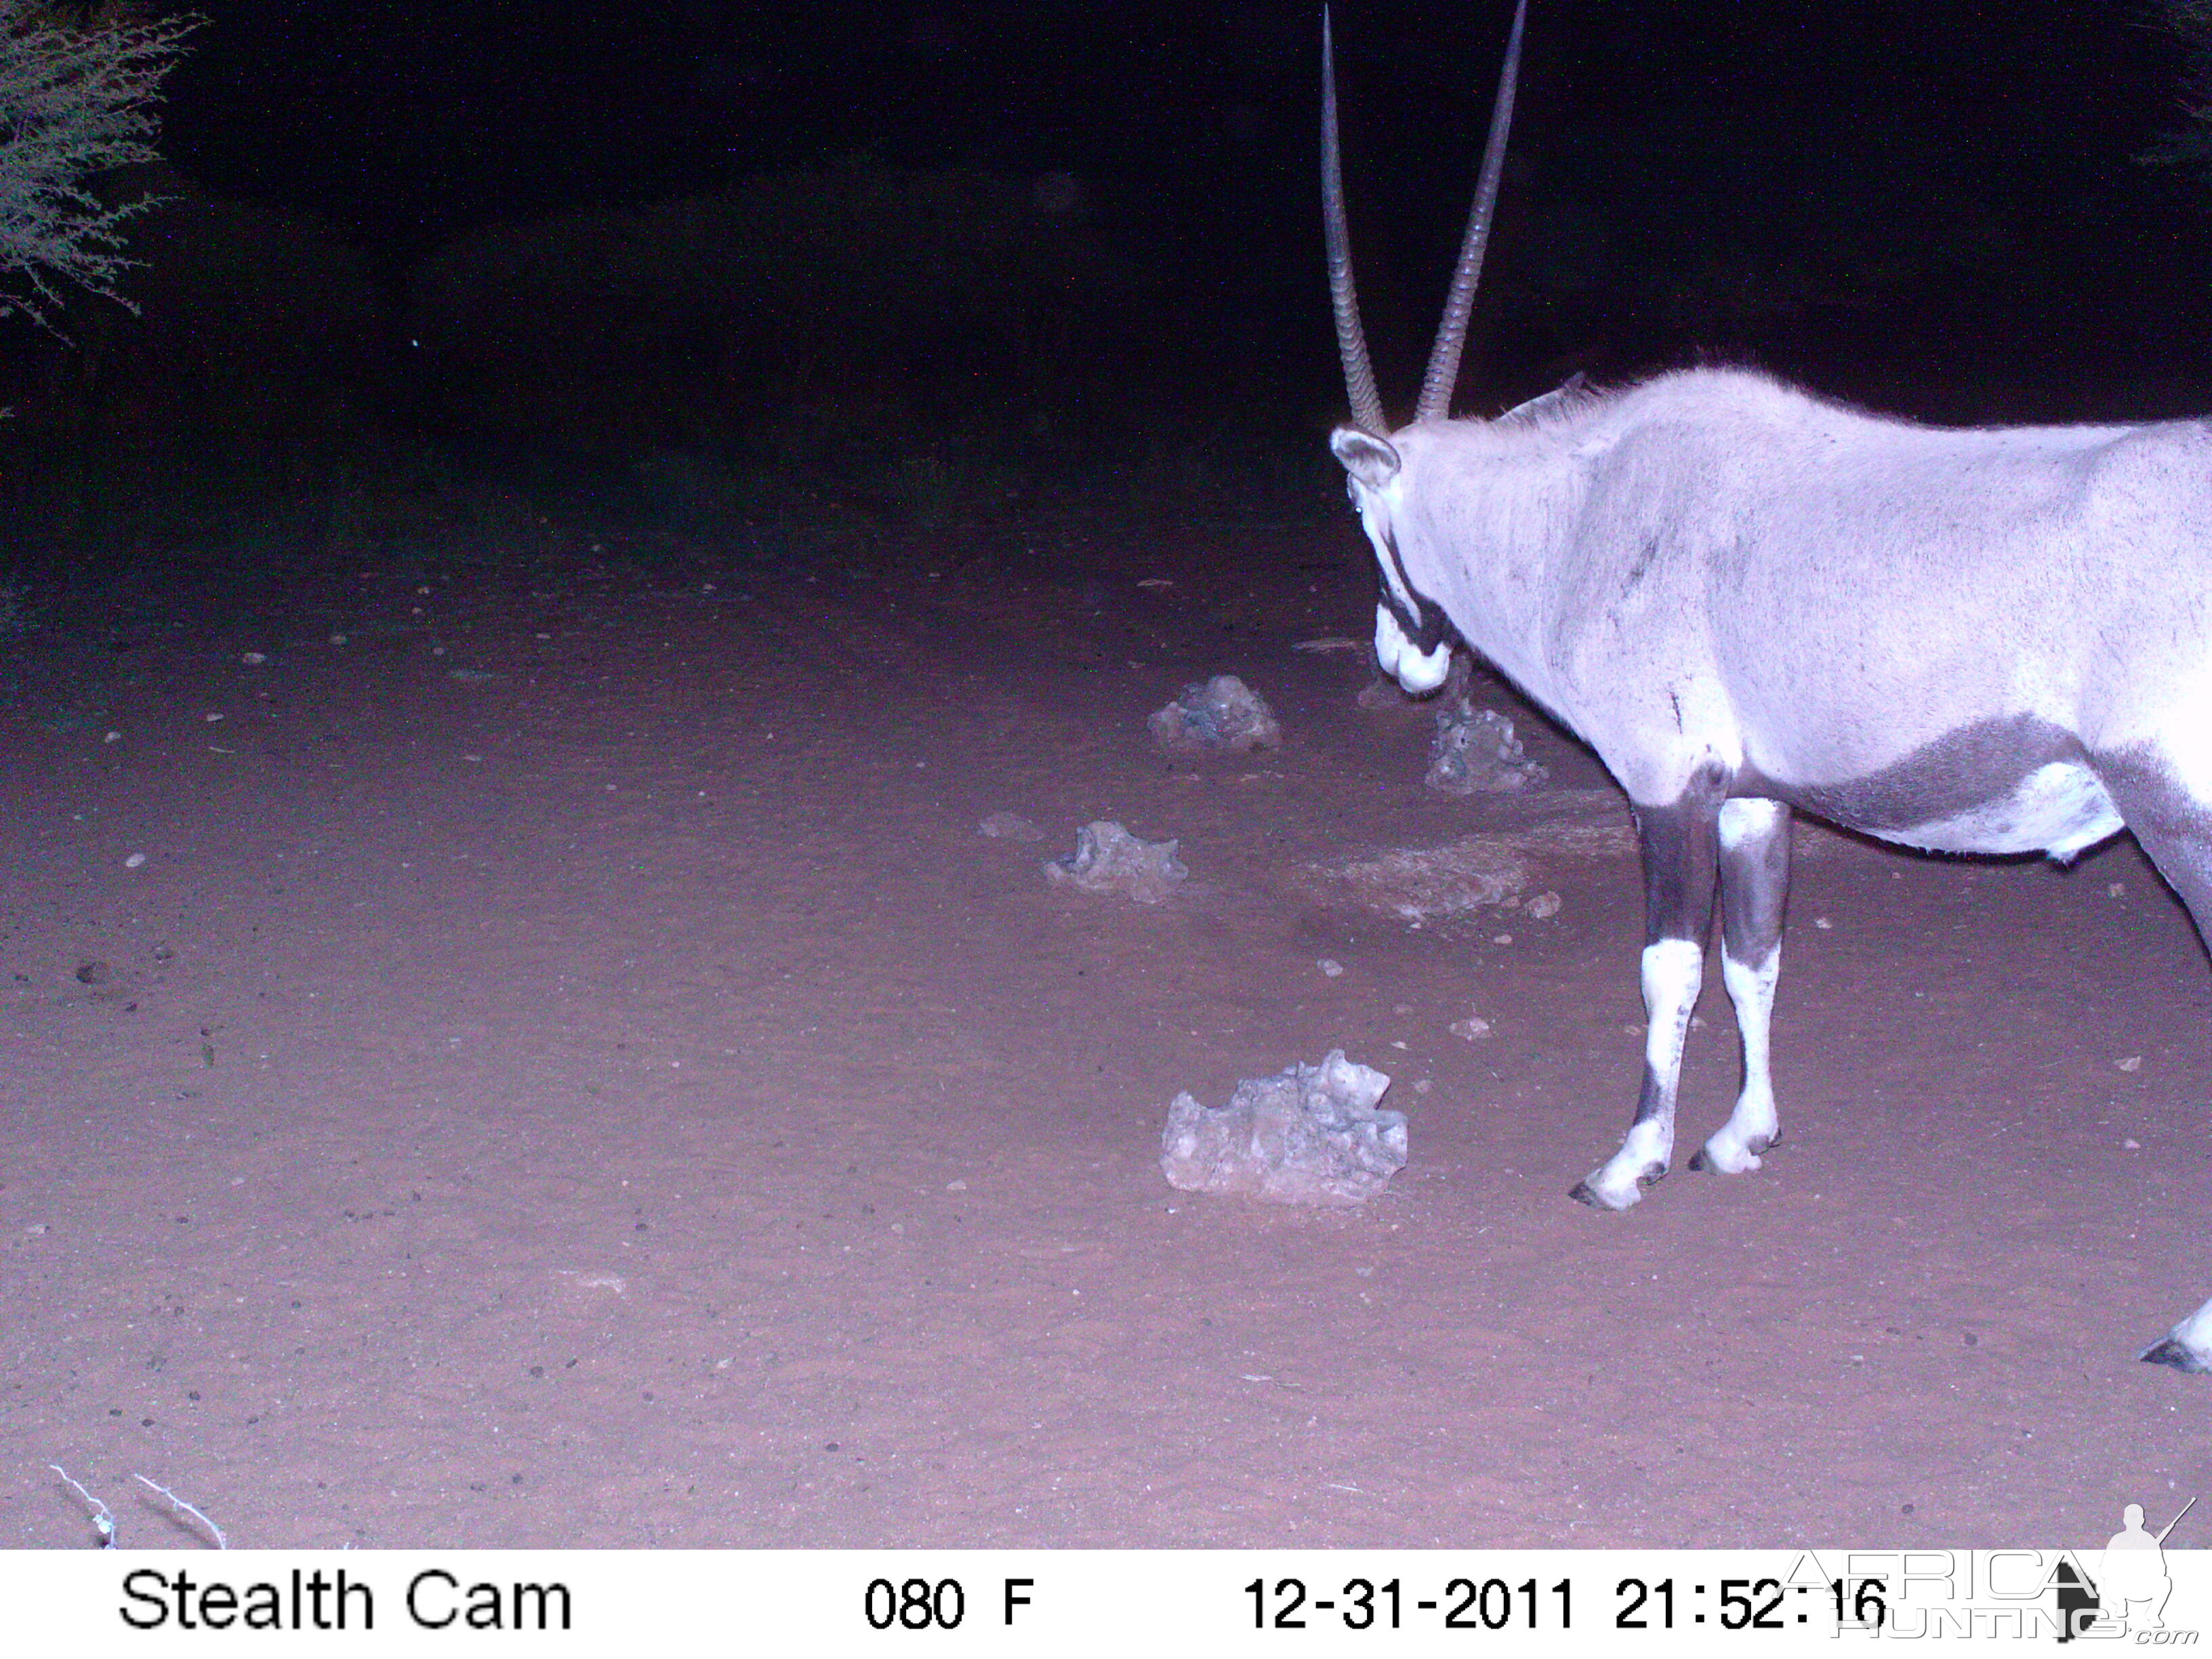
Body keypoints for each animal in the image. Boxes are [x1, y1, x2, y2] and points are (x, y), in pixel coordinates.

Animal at [1318, 3, 2212, 1380]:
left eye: (1368, 519)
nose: (1399, 658)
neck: (1583, 509)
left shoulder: (1661, 789)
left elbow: (1669, 971)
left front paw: (1626, 1162)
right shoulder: (1753, 797)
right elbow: (1754, 960)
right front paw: (1741, 1138)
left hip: (2182, 821)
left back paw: (2192, 1330)